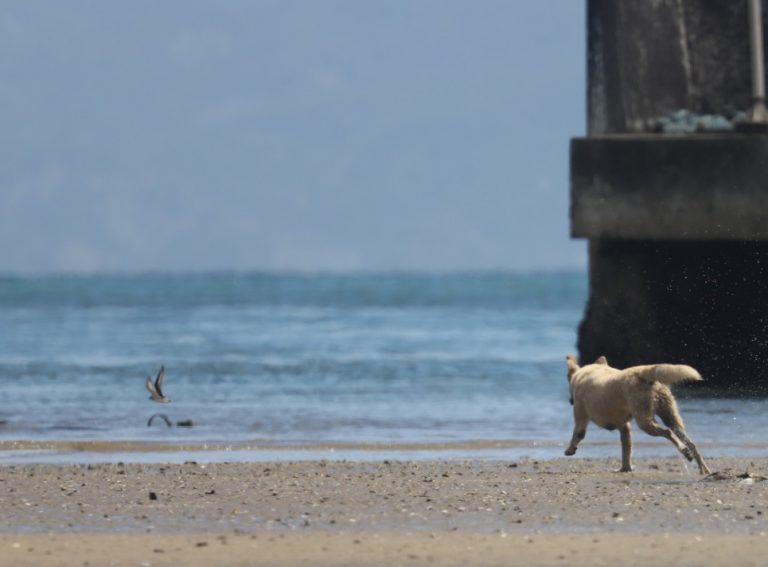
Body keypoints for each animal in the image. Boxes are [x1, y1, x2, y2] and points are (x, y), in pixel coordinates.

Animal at [560, 356, 712, 474]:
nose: (570, 401)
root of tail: (643, 372)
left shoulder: (580, 414)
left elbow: (578, 434)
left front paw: (570, 450)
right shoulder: (624, 427)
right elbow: (626, 449)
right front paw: (625, 468)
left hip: (645, 420)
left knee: (668, 433)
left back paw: (685, 451)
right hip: (670, 414)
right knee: (689, 441)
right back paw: (703, 469)